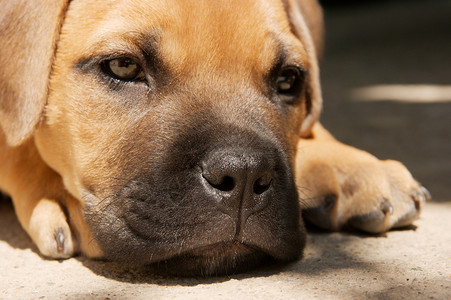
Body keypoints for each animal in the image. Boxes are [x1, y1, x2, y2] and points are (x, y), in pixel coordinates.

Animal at [0, 0, 430, 276]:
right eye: (122, 66)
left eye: (289, 80)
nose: (243, 175)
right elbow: (19, 137)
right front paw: (53, 191)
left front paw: (350, 164)